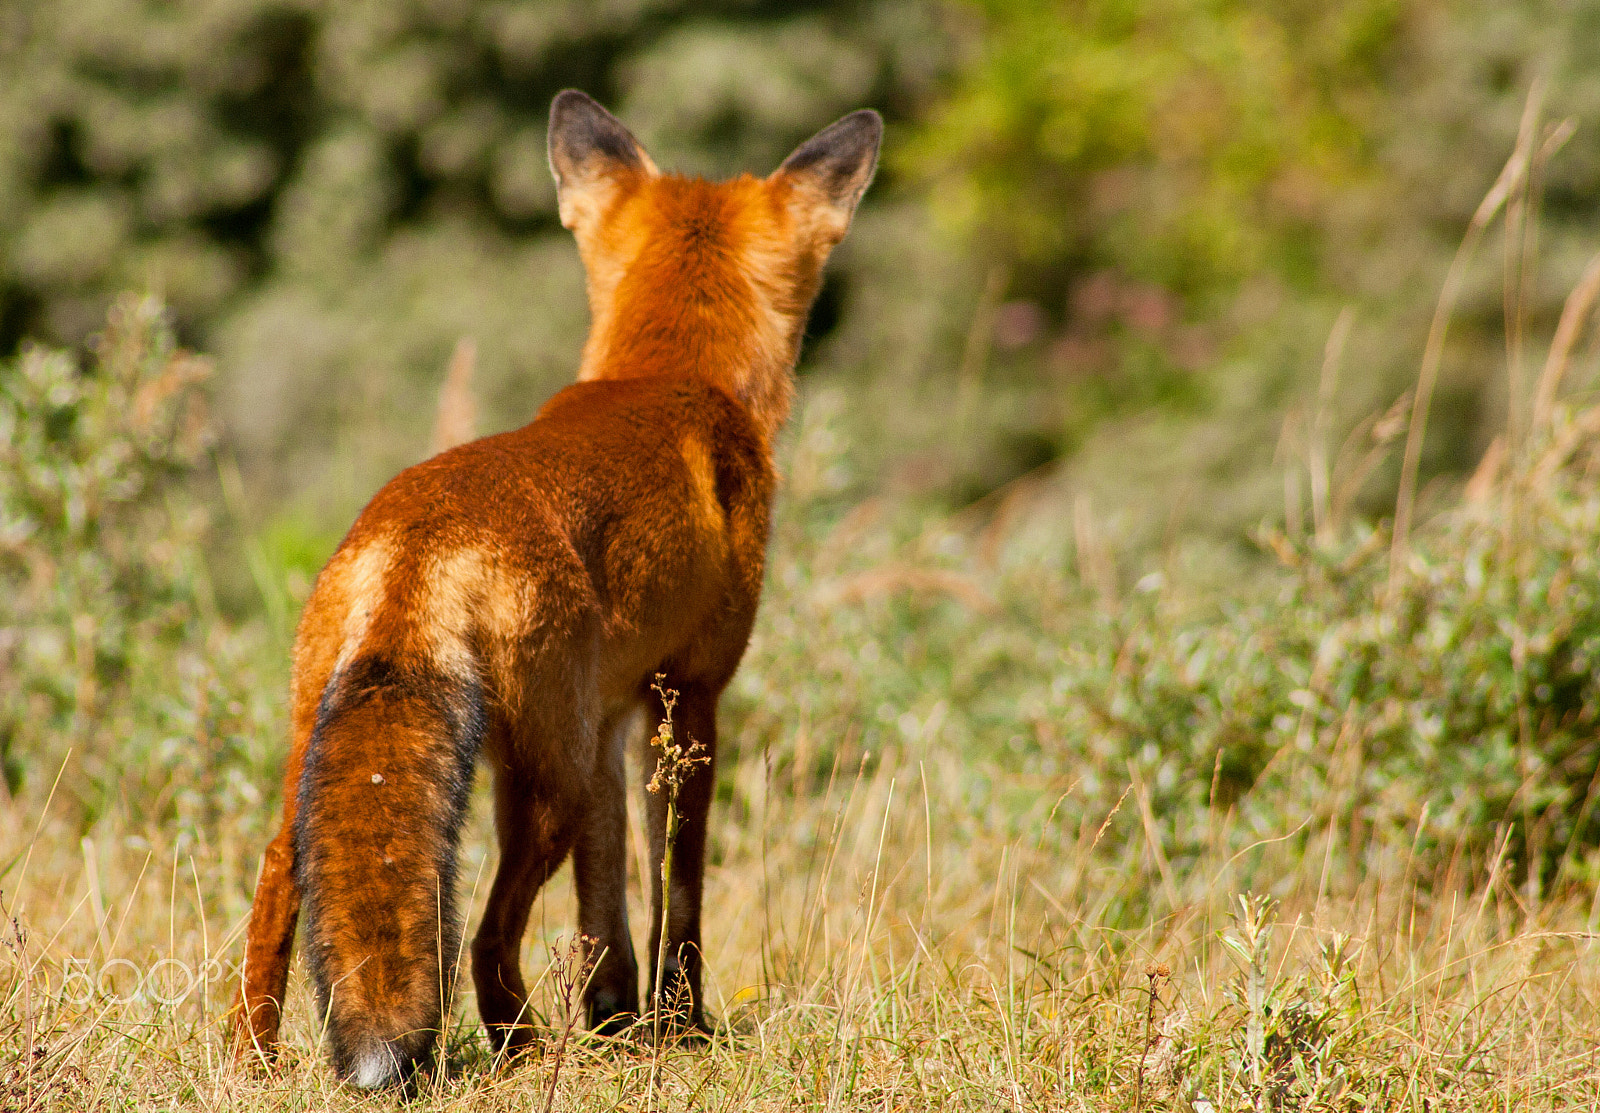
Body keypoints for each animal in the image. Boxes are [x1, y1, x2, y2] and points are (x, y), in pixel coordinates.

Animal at [231, 90, 881, 1087]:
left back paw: (250, 1056)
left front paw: (617, 1020)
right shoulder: (687, 695)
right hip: (547, 784)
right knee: (484, 938)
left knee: (276, 880)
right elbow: (677, 894)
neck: (670, 374)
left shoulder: (611, 712)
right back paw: (526, 1056)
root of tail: (418, 534)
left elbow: (604, 907)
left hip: (338, 747)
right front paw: (679, 1026)